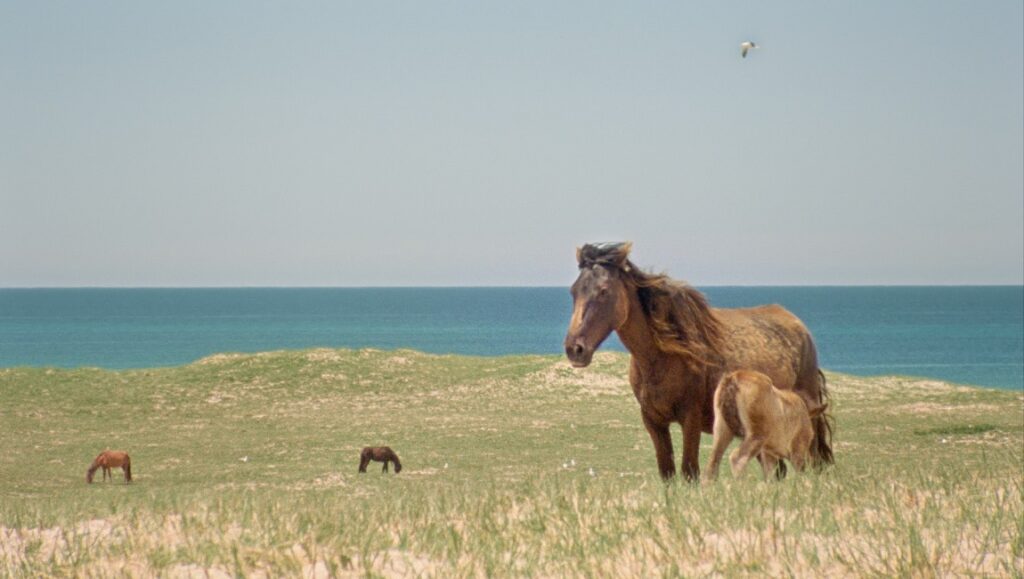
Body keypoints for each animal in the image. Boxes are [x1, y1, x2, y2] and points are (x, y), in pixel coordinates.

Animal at [564, 242, 833, 481]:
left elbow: (689, 471)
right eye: (574, 291)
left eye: (603, 290)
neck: (661, 359)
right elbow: (667, 472)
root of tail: (799, 327)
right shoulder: (654, 422)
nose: (575, 349)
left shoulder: (690, 420)